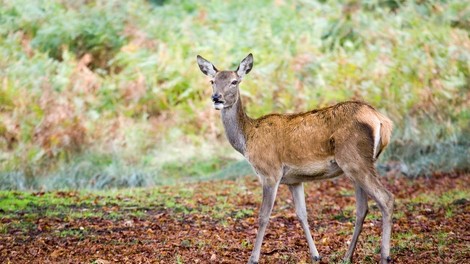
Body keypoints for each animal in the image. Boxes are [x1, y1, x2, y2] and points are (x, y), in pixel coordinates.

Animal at [196, 54, 394, 264]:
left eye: (234, 81)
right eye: (212, 81)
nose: (217, 98)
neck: (247, 140)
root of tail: (382, 121)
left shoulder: (270, 172)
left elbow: (264, 215)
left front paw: (253, 258)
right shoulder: (294, 180)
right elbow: (302, 214)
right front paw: (316, 255)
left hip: (355, 160)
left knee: (386, 198)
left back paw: (384, 256)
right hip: (358, 164)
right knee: (362, 208)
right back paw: (347, 256)